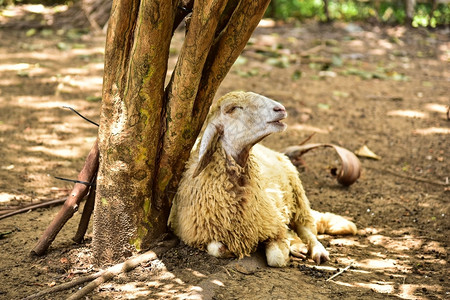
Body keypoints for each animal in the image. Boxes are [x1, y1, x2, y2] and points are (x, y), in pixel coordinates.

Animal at [167, 90, 356, 266]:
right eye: (232, 109)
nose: (280, 109)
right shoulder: (197, 236)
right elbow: (218, 248)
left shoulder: (274, 225)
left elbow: (276, 258)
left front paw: (284, 249)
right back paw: (297, 246)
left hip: (298, 197)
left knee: (307, 229)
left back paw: (316, 250)